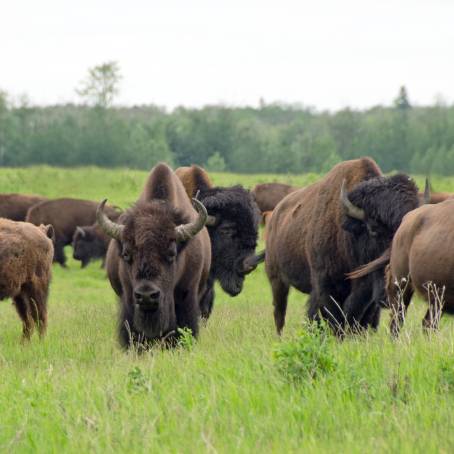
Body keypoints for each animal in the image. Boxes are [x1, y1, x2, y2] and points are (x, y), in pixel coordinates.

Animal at [264, 158, 420, 336]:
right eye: (373, 228)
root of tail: (275, 215)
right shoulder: (326, 285)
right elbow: (335, 317)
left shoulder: (366, 294)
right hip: (277, 280)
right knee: (279, 312)